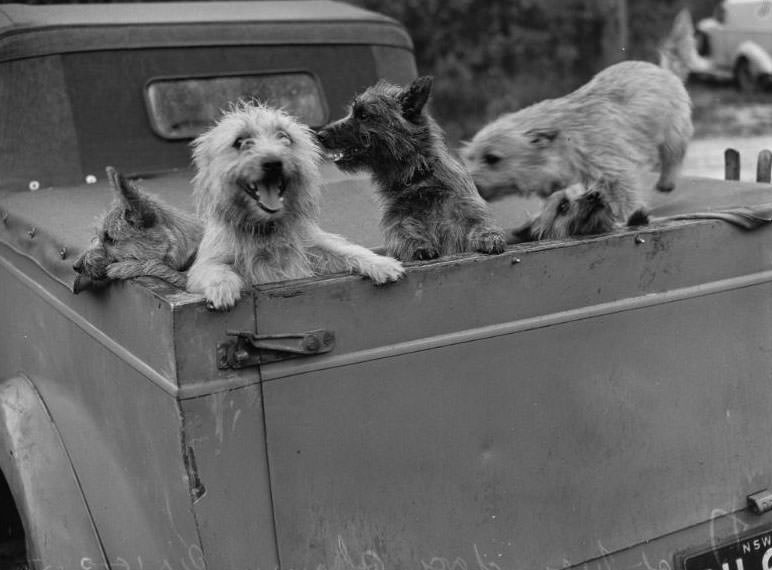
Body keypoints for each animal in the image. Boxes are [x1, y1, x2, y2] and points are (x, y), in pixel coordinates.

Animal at [188, 100, 404, 308]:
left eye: (285, 137)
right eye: (239, 141)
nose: (273, 162)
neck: (267, 229)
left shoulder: (313, 245)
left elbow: (345, 249)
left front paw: (381, 263)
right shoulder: (209, 261)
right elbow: (213, 269)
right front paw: (221, 288)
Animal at [316, 75, 506, 260]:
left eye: (363, 115)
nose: (320, 135)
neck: (416, 180)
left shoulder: (466, 212)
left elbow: (481, 224)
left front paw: (489, 237)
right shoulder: (398, 223)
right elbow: (405, 236)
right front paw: (419, 246)